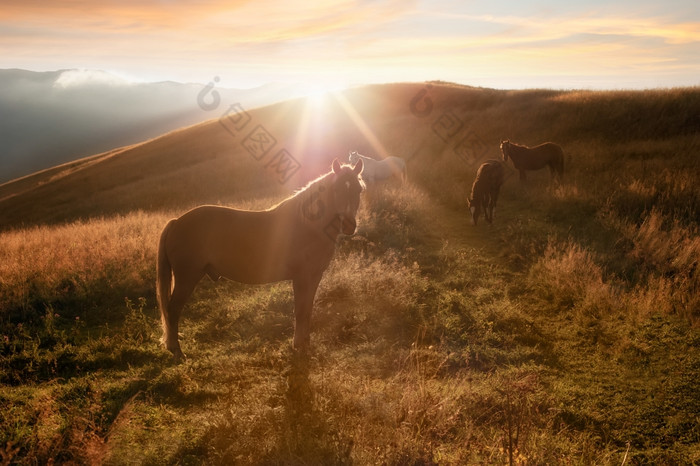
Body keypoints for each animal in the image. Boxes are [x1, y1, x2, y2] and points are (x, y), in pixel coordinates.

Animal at [157, 158, 366, 358]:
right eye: (336, 189)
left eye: (358, 190)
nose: (349, 225)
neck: (307, 226)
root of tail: (176, 222)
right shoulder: (302, 277)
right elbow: (300, 310)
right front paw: (298, 346)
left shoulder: (314, 276)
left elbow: (307, 310)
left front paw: (305, 344)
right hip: (186, 279)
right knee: (172, 311)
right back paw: (177, 352)